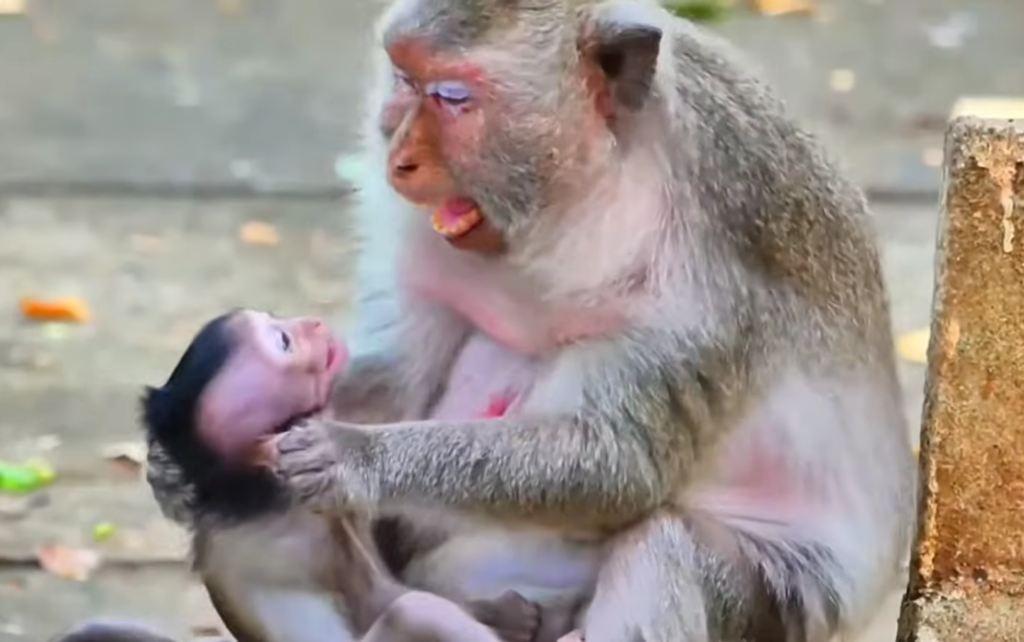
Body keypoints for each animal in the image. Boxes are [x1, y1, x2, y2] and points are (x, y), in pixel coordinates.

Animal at [145, 0, 917, 641]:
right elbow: (401, 371)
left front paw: (356, 456)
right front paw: (179, 468)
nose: (399, 160)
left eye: (453, 98)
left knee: (664, 548)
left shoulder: (709, 283)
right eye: (404, 78)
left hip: (780, 611)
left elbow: (619, 461)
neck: (582, 197)